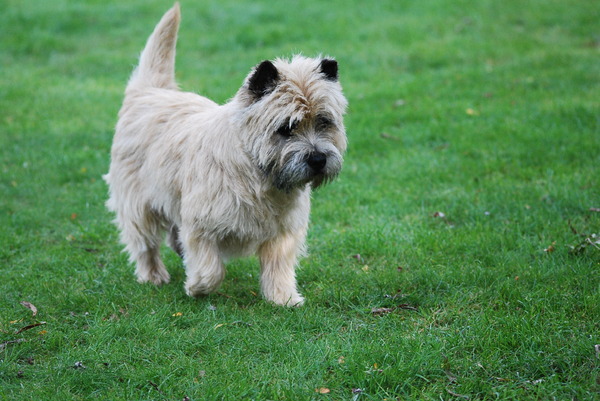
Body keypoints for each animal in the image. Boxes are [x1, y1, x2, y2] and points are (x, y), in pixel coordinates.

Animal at [103, 3, 346, 304]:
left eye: (324, 122)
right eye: (287, 127)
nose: (318, 159)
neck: (257, 175)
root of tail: (149, 92)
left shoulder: (283, 232)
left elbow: (278, 266)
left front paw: (283, 298)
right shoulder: (200, 225)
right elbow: (211, 268)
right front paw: (197, 287)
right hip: (137, 202)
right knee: (145, 243)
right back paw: (153, 275)